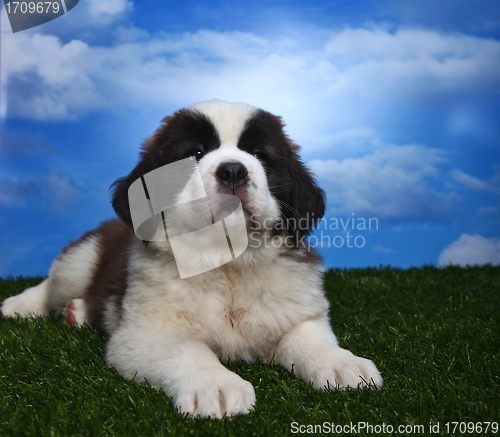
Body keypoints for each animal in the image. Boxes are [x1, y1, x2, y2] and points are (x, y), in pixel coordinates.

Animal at [0, 100, 382, 418]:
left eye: (259, 154)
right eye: (195, 153)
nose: (233, 171)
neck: (226, 262)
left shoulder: (294, 310)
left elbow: (309, 337)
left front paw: (342, 364)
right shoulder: (147, 333)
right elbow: (188, 350)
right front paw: (216, 385)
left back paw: (77, 312)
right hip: (80, 260)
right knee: (53, 283)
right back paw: (22, 305)